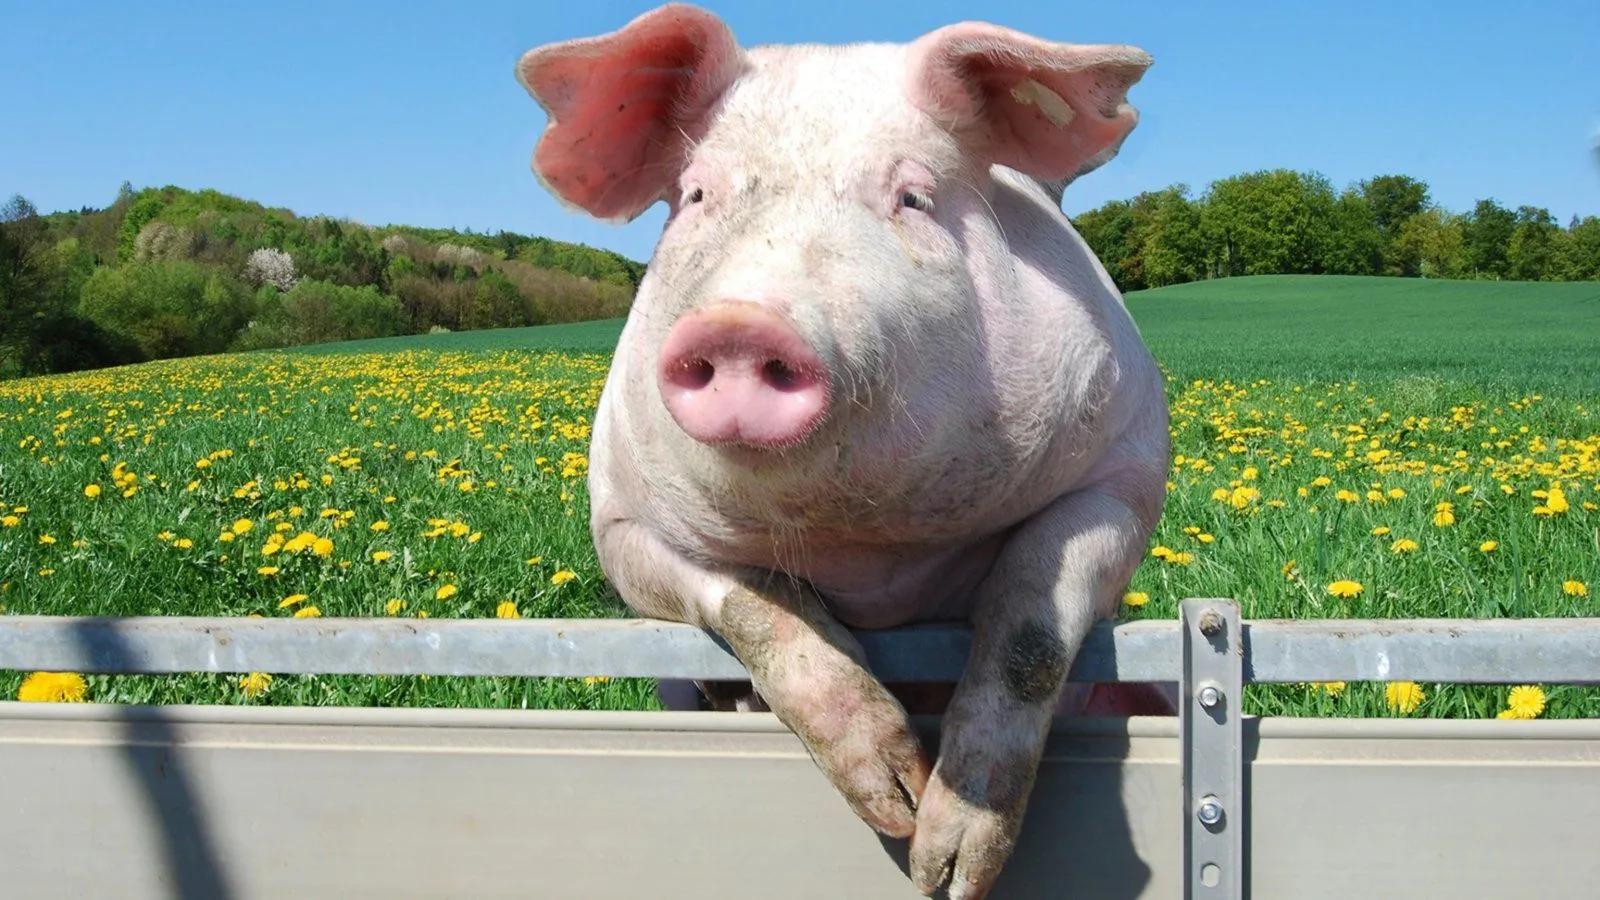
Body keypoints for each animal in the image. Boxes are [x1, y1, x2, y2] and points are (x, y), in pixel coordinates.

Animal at [515, 6, 1170, 897]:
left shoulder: (1126, 466)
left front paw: (946, 869)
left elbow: (1030, 626)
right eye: (695, 196)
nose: (741, 323)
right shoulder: (620, 522)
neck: (869, 549)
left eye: (913, 197)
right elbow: (758, 608)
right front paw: (896, 804)